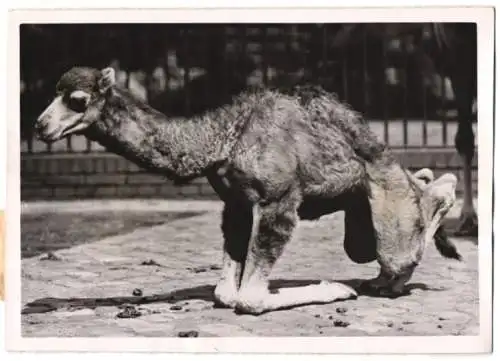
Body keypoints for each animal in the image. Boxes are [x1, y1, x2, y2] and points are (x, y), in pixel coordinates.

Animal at [34, 67, 460, 316]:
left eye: (77, 100)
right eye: (54, 92)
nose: (40, 126)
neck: (222, 137)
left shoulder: (280, 201)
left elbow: (249, 298)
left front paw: (335, 288)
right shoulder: (235, 202)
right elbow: (225, 292)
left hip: (390, 210)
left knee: (405, 243)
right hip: (362, 218)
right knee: (397, 223)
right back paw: (382, 280)